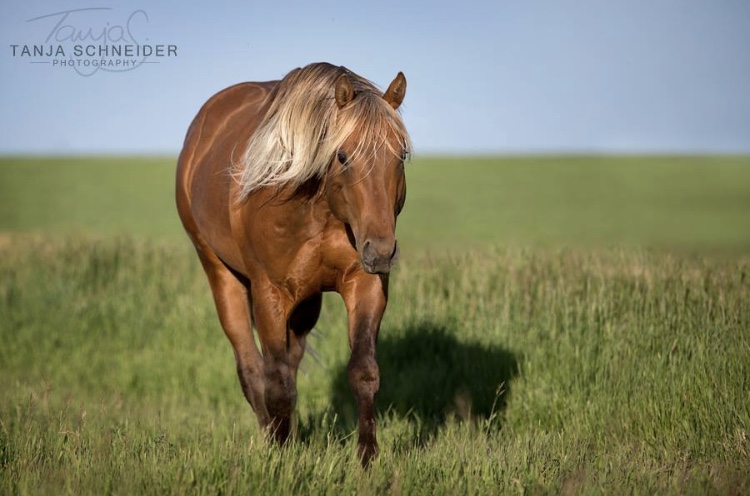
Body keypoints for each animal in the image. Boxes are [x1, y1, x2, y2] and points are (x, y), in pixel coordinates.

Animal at [176, 62, 412, 464]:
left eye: (401, 155)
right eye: (343, 156)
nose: (380, 252)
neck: (320, 209)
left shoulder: (365, 286)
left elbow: (364, 372)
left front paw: (367, 458)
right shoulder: (271, 293)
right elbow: (277, 382)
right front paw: (282, 456)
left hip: (307, 301)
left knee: (291, 358)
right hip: (220, 272)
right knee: (252, 367)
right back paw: (271, 435)